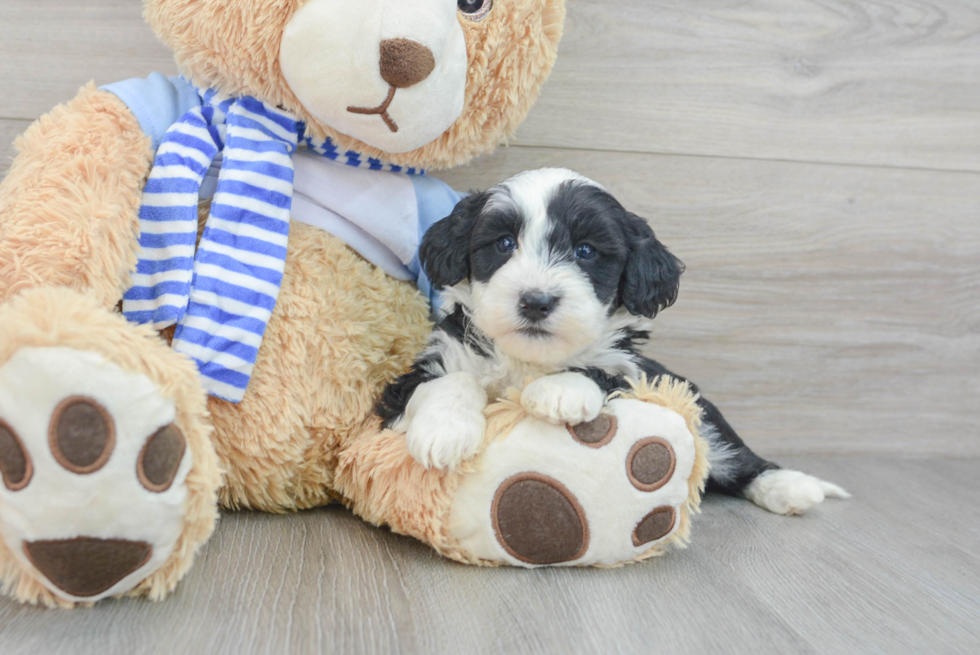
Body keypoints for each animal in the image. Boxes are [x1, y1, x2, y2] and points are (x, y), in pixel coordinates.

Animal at [378, 170, 848, 516]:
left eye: (586, 251)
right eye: (504, 243)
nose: (536, 301)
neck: (528, 361)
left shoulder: (636, 373)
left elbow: (603, 371)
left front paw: (559, 391)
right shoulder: (408, 384)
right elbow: (450, 381)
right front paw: (445, 431)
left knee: (732, 454)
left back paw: (790, 485)